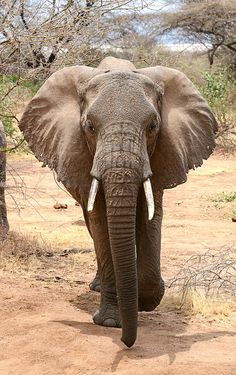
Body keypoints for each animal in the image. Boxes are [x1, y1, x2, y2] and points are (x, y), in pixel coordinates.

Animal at [18, 56, 218, 350]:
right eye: (89, 127)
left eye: (153, 127)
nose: (127, 342)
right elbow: (101, 223)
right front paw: (112, 322)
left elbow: (150, 216)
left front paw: (144, 302)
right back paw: (98, 287)